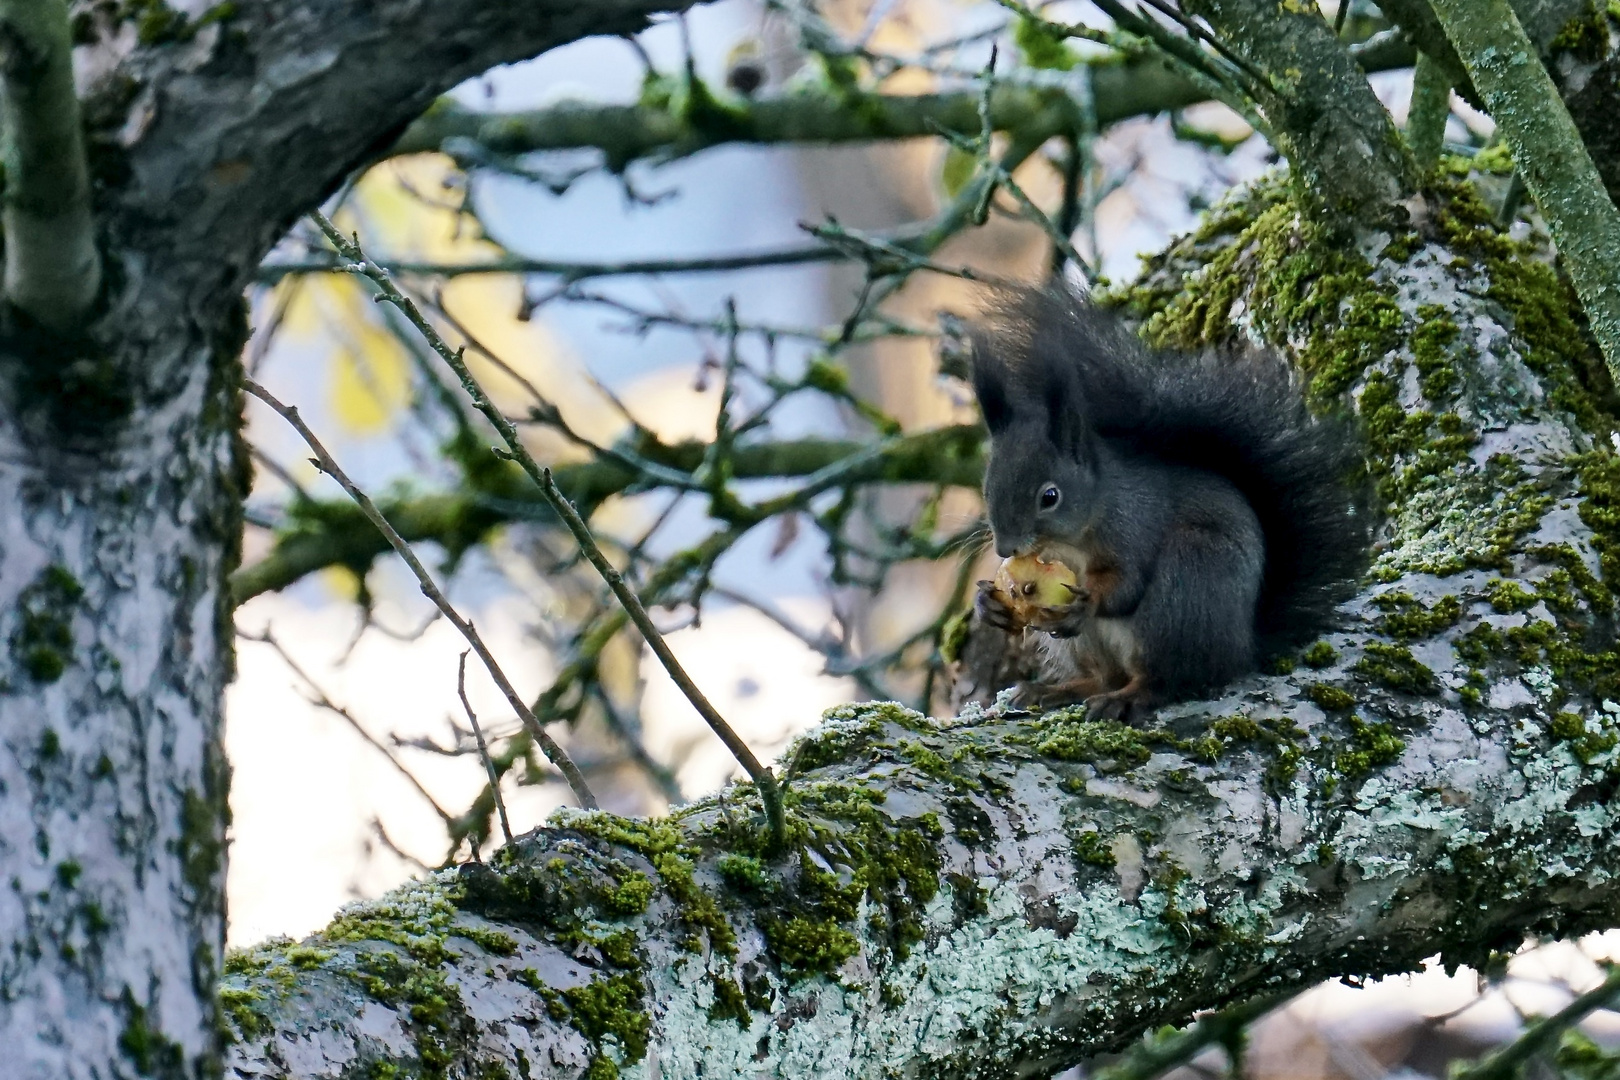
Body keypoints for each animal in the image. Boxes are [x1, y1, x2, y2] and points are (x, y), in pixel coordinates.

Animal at [965, 286, 1373, 722]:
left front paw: (1088, 601)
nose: (1005, 548)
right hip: (1084, 643)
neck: (1073, 538)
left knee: (1165, 678)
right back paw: (1055, 690)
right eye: (988, 488)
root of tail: (1244, 646)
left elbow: (1126, 582)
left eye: (1050, 497)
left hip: (1183, 591)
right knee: (1102, 676)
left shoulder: (1137, 524)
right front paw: (988, 603)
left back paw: (1126, 697)